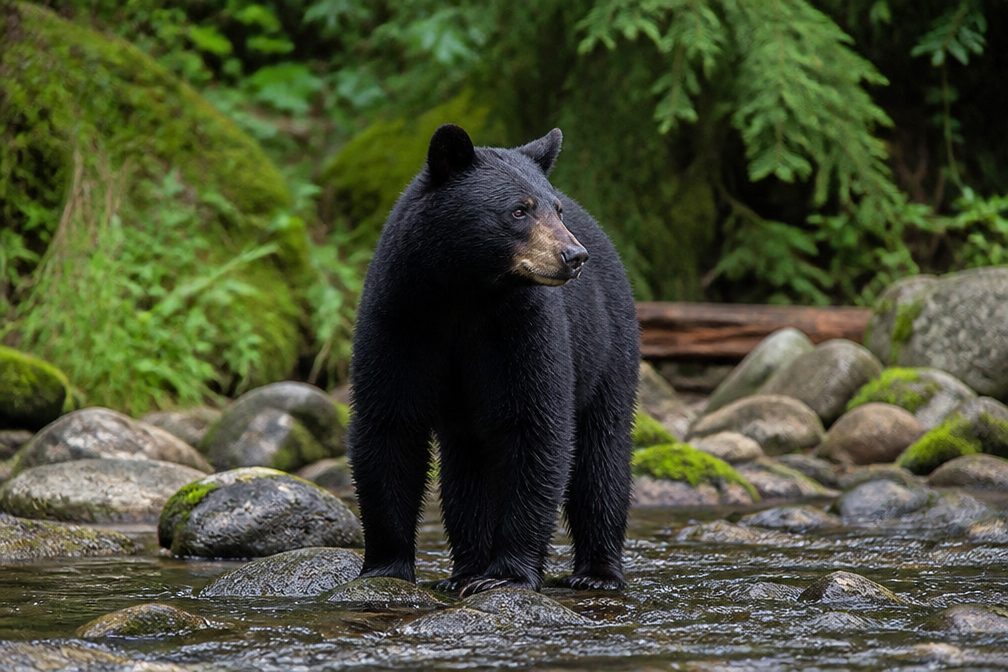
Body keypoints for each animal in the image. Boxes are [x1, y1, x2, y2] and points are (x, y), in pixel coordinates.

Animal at [347, 124, 639, 595]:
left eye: (556, 210)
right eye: (519, 210)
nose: (573, 256)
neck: (465, 295)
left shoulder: (522, 328)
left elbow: (535, 427)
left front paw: (507, 573)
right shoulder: (399, 318)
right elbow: (389, 425)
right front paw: (385, 567)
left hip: (609, 346)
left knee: (602, 455)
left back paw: (596, 573)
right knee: (467, 469)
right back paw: (465, 570)